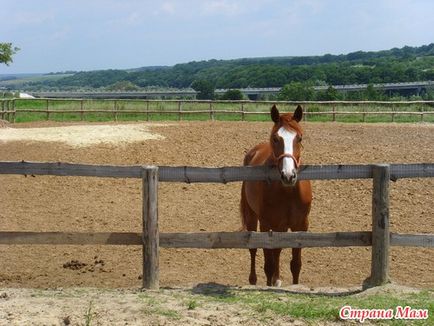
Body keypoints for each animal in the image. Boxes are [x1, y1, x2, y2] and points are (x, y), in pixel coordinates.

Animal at [241, 104, 312, 286]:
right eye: (275, 138)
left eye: (299, 138)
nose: (288, 175)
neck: (287, 192)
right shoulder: (266, 224)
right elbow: (268, 264)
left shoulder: (301, 225)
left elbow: (296, 264)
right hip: (252, 217)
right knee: (253, 248)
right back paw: (254, 280)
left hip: (281, 225)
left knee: (278, 250)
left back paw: (277, 279)